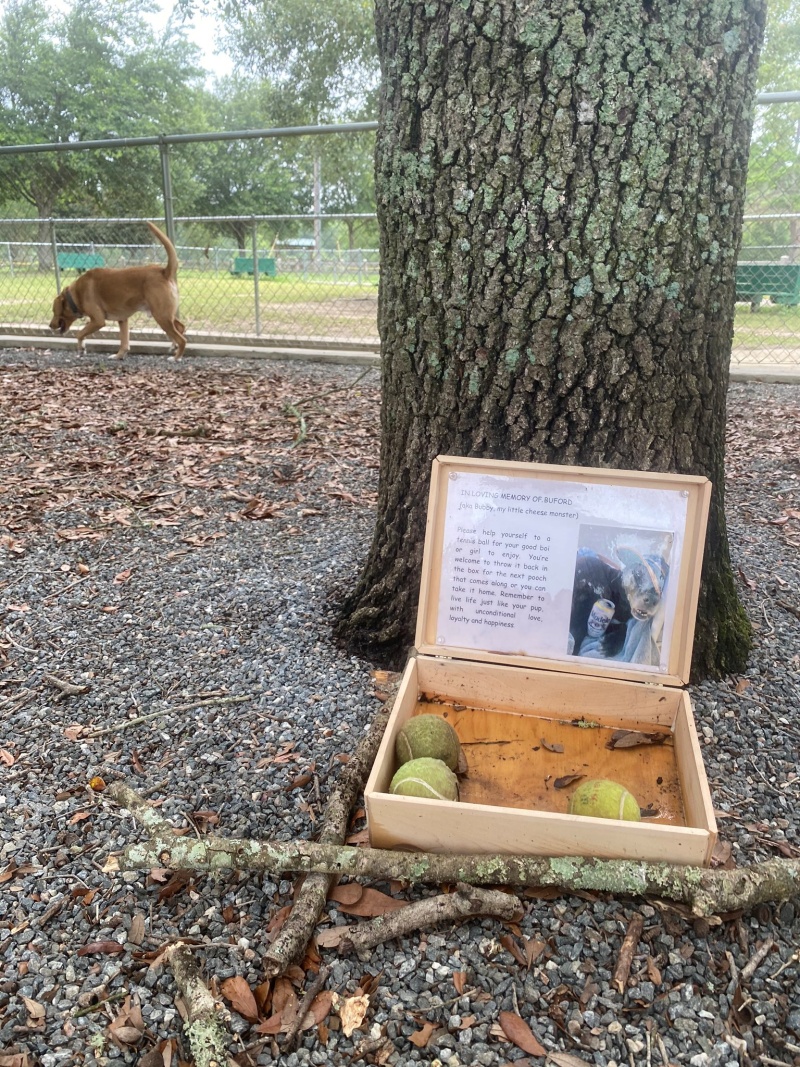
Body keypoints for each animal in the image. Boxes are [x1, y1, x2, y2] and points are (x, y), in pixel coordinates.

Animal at [49, 223, 187, 360]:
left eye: (54, 311)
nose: (50, 325)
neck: (75, 294)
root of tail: (163, 271)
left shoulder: (98, 321)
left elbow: (79, 333)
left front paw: (81, 348)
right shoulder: (123, 320)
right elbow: (124, 342)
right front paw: (118, 355)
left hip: (161, 316)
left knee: (182, 339)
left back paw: (176, 357)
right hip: (166, 315)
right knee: (180, 328)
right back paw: (174, 347)